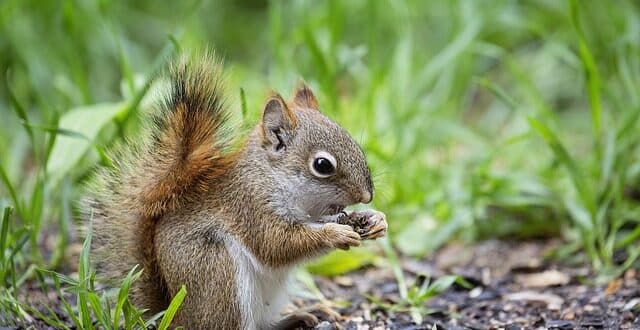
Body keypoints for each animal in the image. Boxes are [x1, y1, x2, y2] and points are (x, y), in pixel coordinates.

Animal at [85, 55, 384, 328]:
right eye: (322, 165)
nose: (366, 195)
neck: (273, 177)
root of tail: (174, 317)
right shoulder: (250, 206)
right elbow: (277, 244)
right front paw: (336, 233)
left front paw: (373, 220)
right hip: (218, 273)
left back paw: (302, 316)